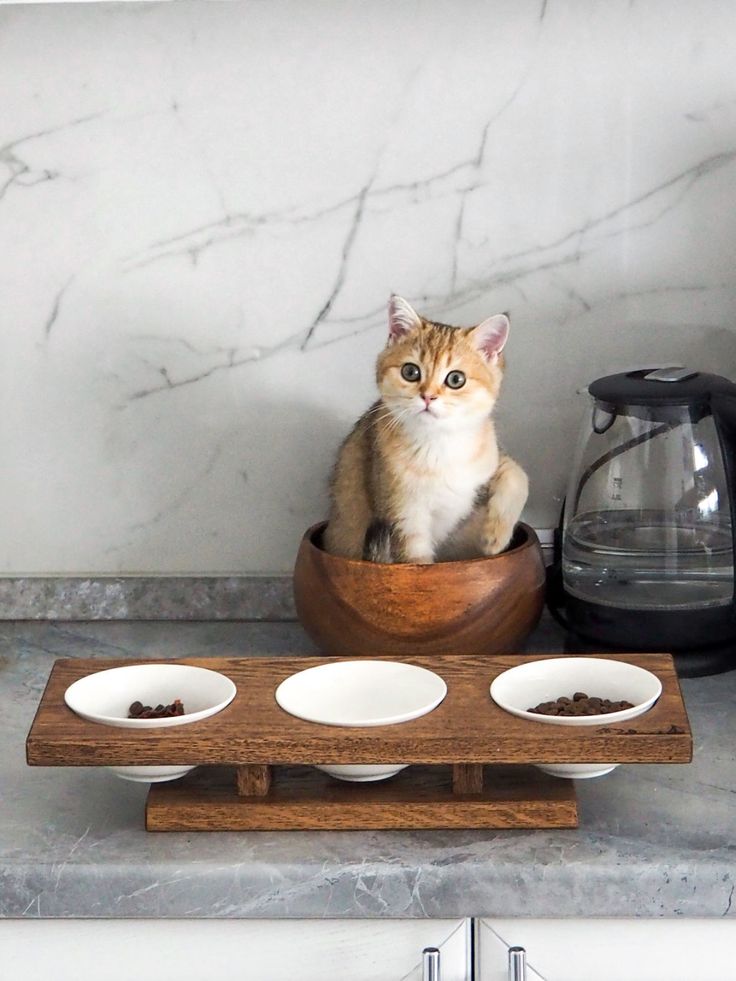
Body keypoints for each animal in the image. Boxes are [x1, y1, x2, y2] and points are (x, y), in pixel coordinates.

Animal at [324, 294, 528, 564]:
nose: (428, 396)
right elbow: (418, 564)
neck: (437, 446)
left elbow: (518, 475)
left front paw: (495, 536)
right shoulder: (404, 517)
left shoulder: (493, 460)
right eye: (411, 372)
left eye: (456, 379)